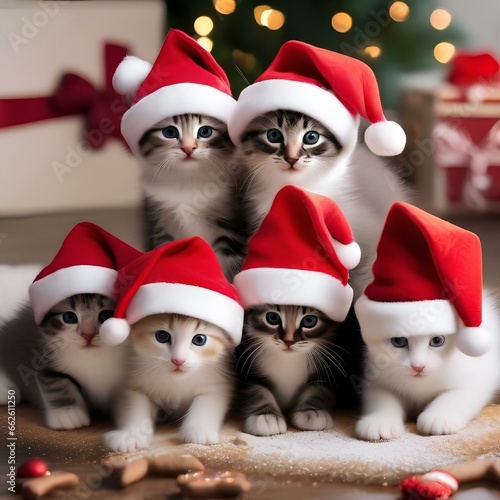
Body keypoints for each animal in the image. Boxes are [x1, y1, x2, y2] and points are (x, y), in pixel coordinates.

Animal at [0, 292, 127, 430]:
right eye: (70, 317)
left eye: (105, 315)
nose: (87, 335)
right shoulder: (43, 356)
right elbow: (58, 383)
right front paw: (67, 412)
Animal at [103, 312, 236, 454]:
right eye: (162, 336)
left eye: (199, 339)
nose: (178, 360)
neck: (176, 381)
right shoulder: (135, 383)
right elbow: (135, 406)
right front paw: (131, 436)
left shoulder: (217, 383)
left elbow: (207, 403)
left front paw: (200, 430)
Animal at [138, 113, 247, 282]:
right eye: (170, 132)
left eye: (205, 131)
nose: (188, 148)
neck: (189, 179)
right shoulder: (160, 227)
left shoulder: (231, 231)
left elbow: (224, 266)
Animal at [236, 302, 362, 436]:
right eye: (272, 317)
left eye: (309, 320)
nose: (288, 341)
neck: (288, 360)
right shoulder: (246, 368)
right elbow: (258, 392)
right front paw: (266, 415)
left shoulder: (330, 372)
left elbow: (317, 389)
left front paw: (311, 410)